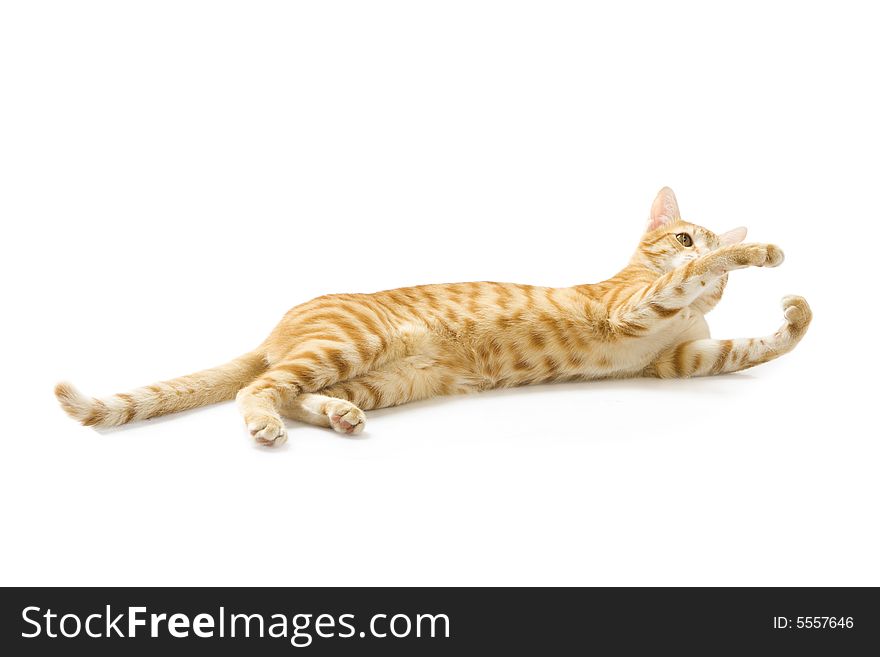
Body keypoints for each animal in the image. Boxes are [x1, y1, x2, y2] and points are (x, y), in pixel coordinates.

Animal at [55, 187, 812, 448]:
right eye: (685, 238)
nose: (699, 250)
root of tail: (280, 327)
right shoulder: (633, 312)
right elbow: (690, 281)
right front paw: (758, 253)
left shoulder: (679, 360)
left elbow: (757, 346)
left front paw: (797, 313)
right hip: (350, 345)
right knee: (258, 388)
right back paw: (267, 424)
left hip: (384, 379)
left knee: (296, 392)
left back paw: (337, 416)